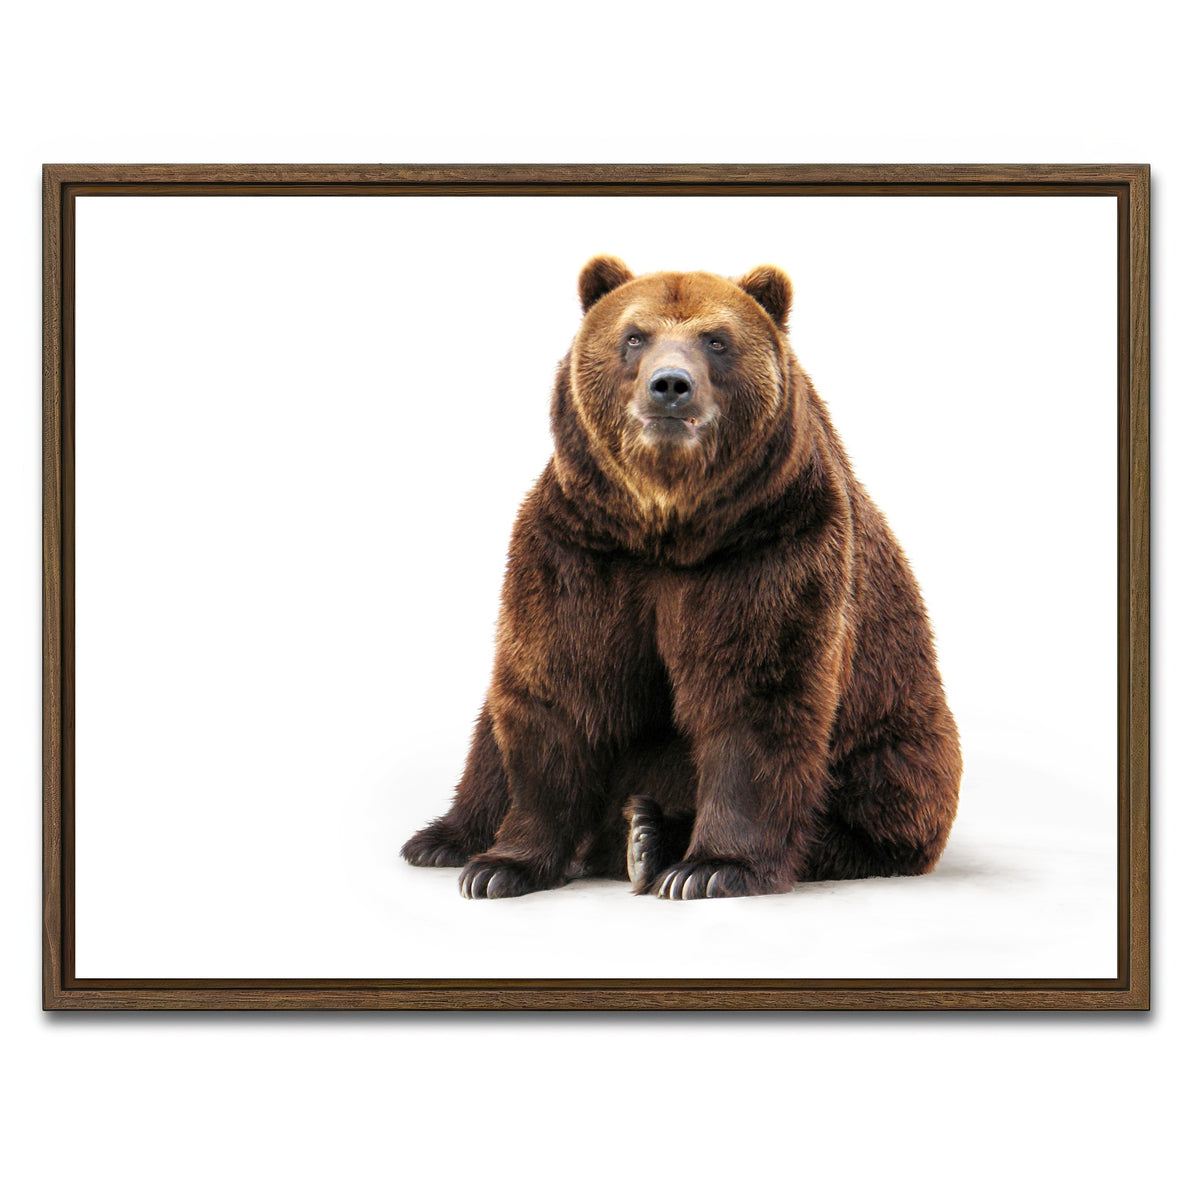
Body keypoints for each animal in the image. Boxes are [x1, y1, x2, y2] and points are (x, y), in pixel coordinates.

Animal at [402, 255, 962, 900]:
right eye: (634, 336)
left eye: (716, 340)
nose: (670, 385)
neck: (668, 526)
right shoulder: (581, 549)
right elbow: (559, 687)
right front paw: (501, 866)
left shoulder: (769, 547)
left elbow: (754, 695)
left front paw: (712, 867)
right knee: (490, 736)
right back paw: (445, 839)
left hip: (897, 735)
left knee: (873, 800)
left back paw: (650, 836)